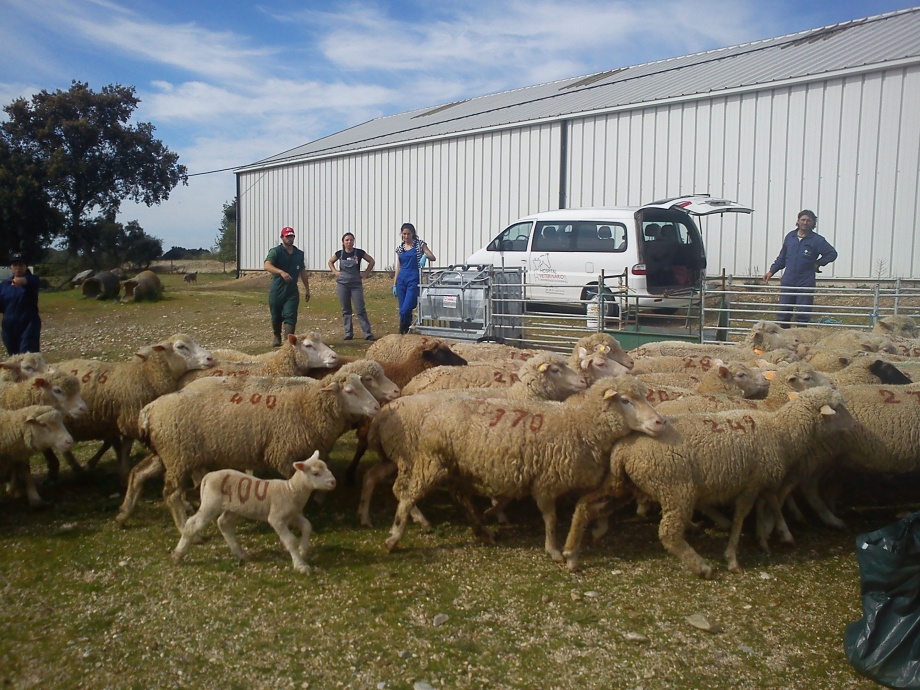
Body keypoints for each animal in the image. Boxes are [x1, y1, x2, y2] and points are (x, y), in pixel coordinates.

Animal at [49, 334, 215, 479]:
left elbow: (119, 445)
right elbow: (125, 447)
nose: (210, 357)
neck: (145, 376)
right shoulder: (130, 418)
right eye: (181, 347)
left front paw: (120, 470)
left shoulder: (121, 420)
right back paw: (70, 469)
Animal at [116, 371, 380, 533]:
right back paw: (184, 528)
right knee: (170, 493)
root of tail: (148, 411)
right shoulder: (282, 452)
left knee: (138, 474)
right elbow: (293, 482)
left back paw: (123, 515)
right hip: (178, 455)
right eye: (349, 390)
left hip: (168, 454)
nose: (376, 406)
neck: (307, 403)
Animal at [172, 451, 336, 574]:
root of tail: (208, 476)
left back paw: (240, 553)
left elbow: (307, 526)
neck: (290, 490)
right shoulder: (277, 518)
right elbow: (290, 540)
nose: (333, 482)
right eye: (316, 473)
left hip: (233, 508)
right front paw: (300, 565)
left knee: (223, 523)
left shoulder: (293, 515)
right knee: (192, 524)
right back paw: (178, 553)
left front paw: (303, 551)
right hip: (210, 504)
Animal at [376, 375, 665, 563]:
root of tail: (439, 409)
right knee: (408, 496)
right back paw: (394, 538)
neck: (581, 424)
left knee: (461, 498)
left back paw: (483, 530)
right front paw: (554, 551)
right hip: (433, 461)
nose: (660, 422)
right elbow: (551, 519)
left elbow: (595, 508)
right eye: (625, 400)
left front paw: (596, 532)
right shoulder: (547, 482)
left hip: (459, 468)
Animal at [562, 387, 854, 577]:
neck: (781, 431)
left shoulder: (761, 479)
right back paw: (702, 566)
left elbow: (769, 503)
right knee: (668, 533)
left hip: (622, 485)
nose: (856, 427)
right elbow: (742, 516)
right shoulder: (751, 485)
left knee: (585, 506)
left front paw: (771, 535)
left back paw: (571, 552)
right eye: (839, 408)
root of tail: (624, 447)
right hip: (676, 489)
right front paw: (733, 557)